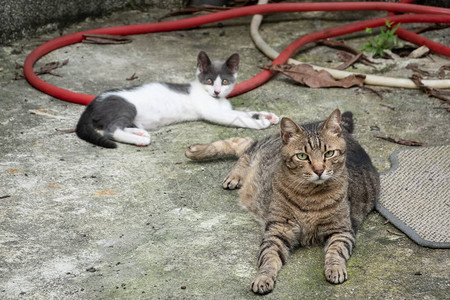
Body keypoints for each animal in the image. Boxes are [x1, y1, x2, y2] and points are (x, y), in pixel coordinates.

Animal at [76, 51, 280, 148]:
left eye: (224, 81)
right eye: (208, 81)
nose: (216, 91)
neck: (216, 99)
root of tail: (92, 103)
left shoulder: (224, 108)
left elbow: (243, 112)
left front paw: (266, 115)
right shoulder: (213, 112)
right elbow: (237, 117)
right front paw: (259, 123)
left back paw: (139, 133)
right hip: (126, 107)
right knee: (111, 130)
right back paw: (139, 140)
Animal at [185, 109, 380, 294]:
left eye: (329, 154)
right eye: (302, 156)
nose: (319, 170)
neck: (310, 196)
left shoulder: (342, 230)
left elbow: (336, 251)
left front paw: (335, 269)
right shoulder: (278, 230)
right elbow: (269, 257)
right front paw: (263, 277)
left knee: (245, 143)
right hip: (262, 149)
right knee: (247, 146)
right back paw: (208, 159)